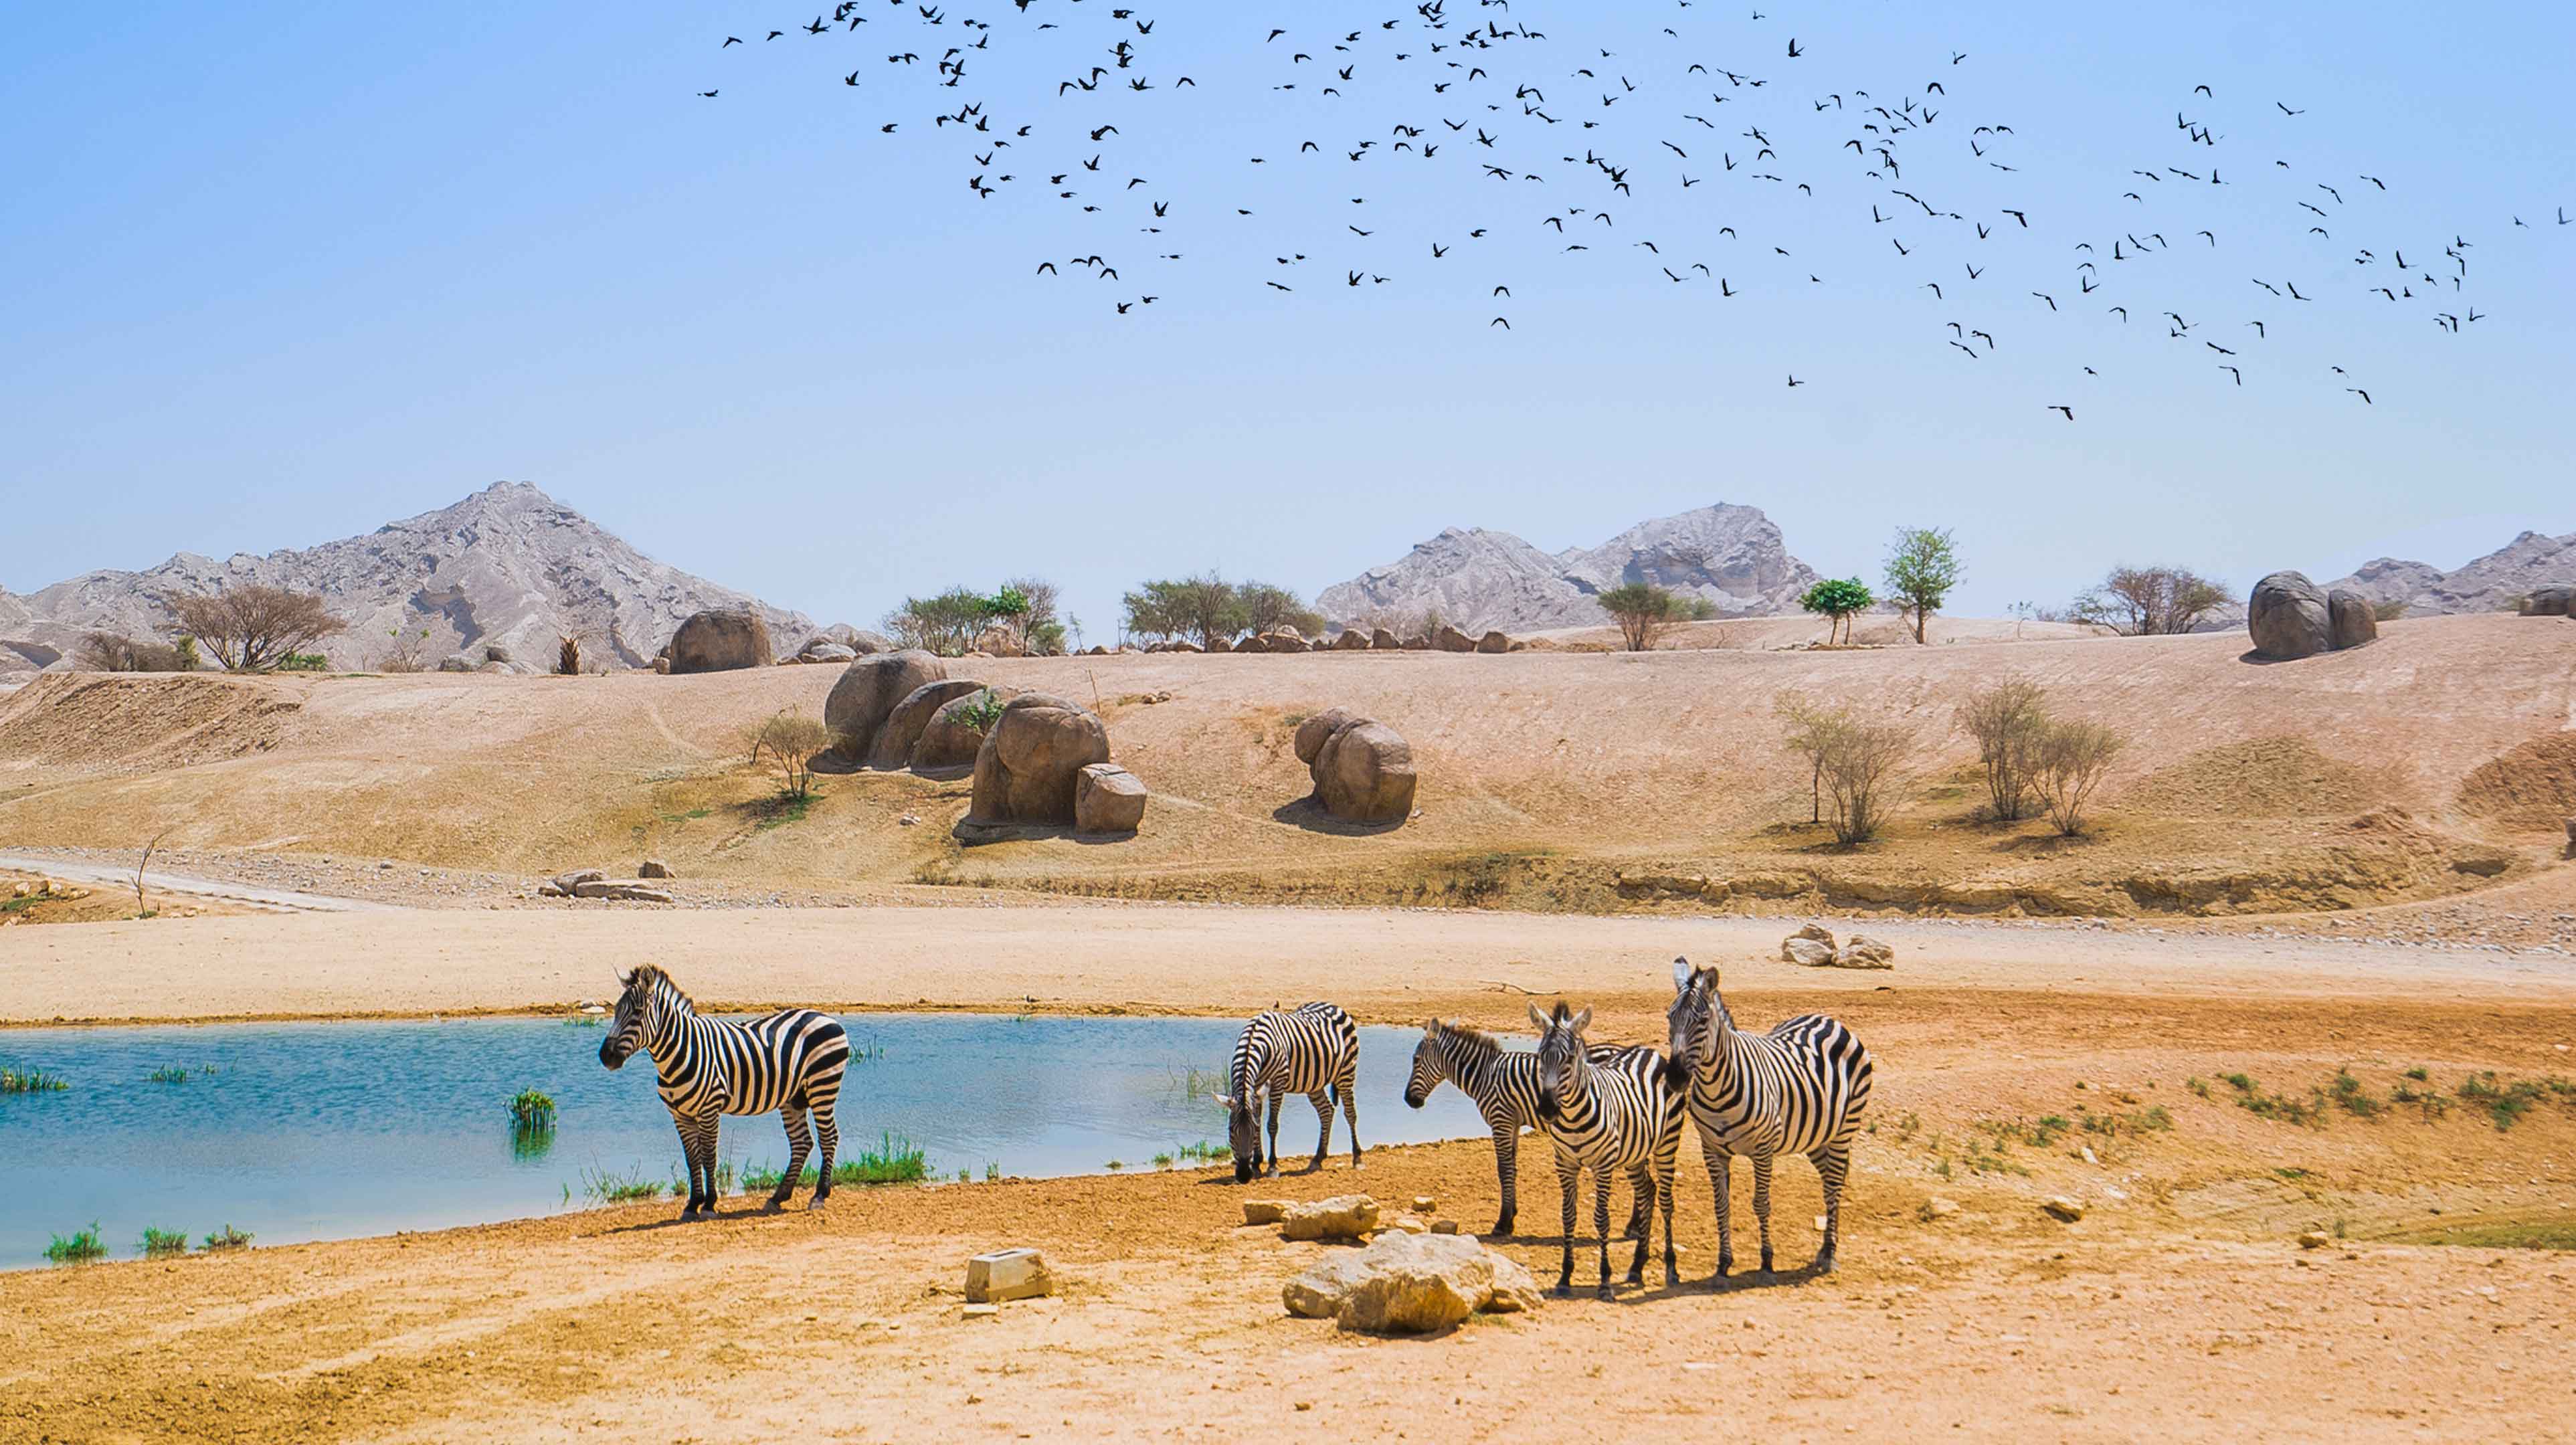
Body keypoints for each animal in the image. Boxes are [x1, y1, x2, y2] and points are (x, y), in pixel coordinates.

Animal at [598, 965, 852, 1219]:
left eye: (638, 1012)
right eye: (616, 1011)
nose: (606, 1056)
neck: (682, 1051)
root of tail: (823, 1015)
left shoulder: (710, 1108)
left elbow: (709, 1156)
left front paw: (709, 1204)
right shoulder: (680, 1115)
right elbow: (692, 1159)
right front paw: (692, 1205)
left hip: (823, 1086)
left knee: (828, 1137)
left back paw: (819, 1195)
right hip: (793, 1098)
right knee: (801, 1143)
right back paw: (778, 1197)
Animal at [1219, 1002, 1360, 1184]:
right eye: (1230, 1130)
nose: (1243, 1176)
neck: (1253, 1041)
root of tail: (1334, 1006)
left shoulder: (1277, 1084)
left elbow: (1271, 1125)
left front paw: (1272, 1167)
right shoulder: (1257, 1088)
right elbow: (1259, 1121)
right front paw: (1257, 1165)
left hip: (1347, 1072)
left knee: (1350, 1113)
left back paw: (1357, 1158)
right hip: (1315, 1083)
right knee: (1326, 1111)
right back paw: (1318, 1159)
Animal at [1403, 1018, 1662, 1240]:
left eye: (1416, 1060)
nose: (1409, 1101)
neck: (1484, 1075)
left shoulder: (1501, 1119)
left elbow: (1504, 1169)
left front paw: (1503, 1223)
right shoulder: (1514, 1123)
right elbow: (1513, 1168)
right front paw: (1512, 1214)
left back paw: (1635, 1225)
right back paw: (1634, 1225)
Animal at [1526, 1001, 1686, 1298]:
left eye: (1569, 1058)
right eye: (1541, 1057)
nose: (1548, 1109)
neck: (1573, 1118)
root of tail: (1647, 1050)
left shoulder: (1603, 1164)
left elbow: (1601, 1219)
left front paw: (1605, 1281)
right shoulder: (1564, 1163)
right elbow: (1568, 1217)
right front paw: (1565, 1278)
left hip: (1667, 1142)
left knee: (1666, 1201)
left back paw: (1671, 1269)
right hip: (1635, 1153)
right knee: (1647, 1192)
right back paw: (1637, 1265)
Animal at [1663, 956, 1874, 1278]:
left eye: (1702, 1021)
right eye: (1669, 1018)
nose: (1675, 1078)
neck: (1716, 1089)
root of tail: (1828, 1019)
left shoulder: (1763, 1150)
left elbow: (1761, 1203)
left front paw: (1766, 1259)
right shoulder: (1711, 1150)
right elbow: (1721, 1206)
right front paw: (1723, 1262)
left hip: (1843, 1130)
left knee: (1833, 1188)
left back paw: (1829, 1254)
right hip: (1817, 1138)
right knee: (1829, 1180)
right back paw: (1828, 1247)